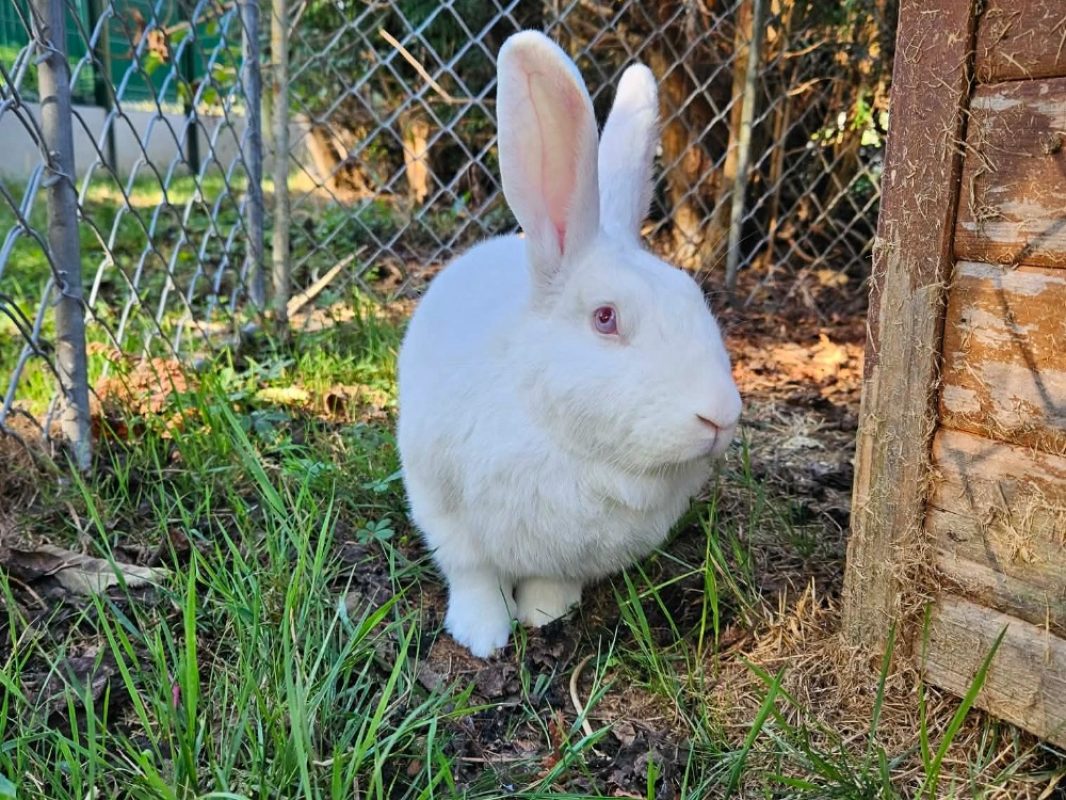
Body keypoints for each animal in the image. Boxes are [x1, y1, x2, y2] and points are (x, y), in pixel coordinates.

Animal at [396, 30, 742, 658]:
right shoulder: (445, 512)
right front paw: (484, 637)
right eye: (605, 318)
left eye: (694, 299)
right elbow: (474, 575)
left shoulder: (569, 558)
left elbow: (551, 583)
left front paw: (544, 617)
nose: (721, 416)